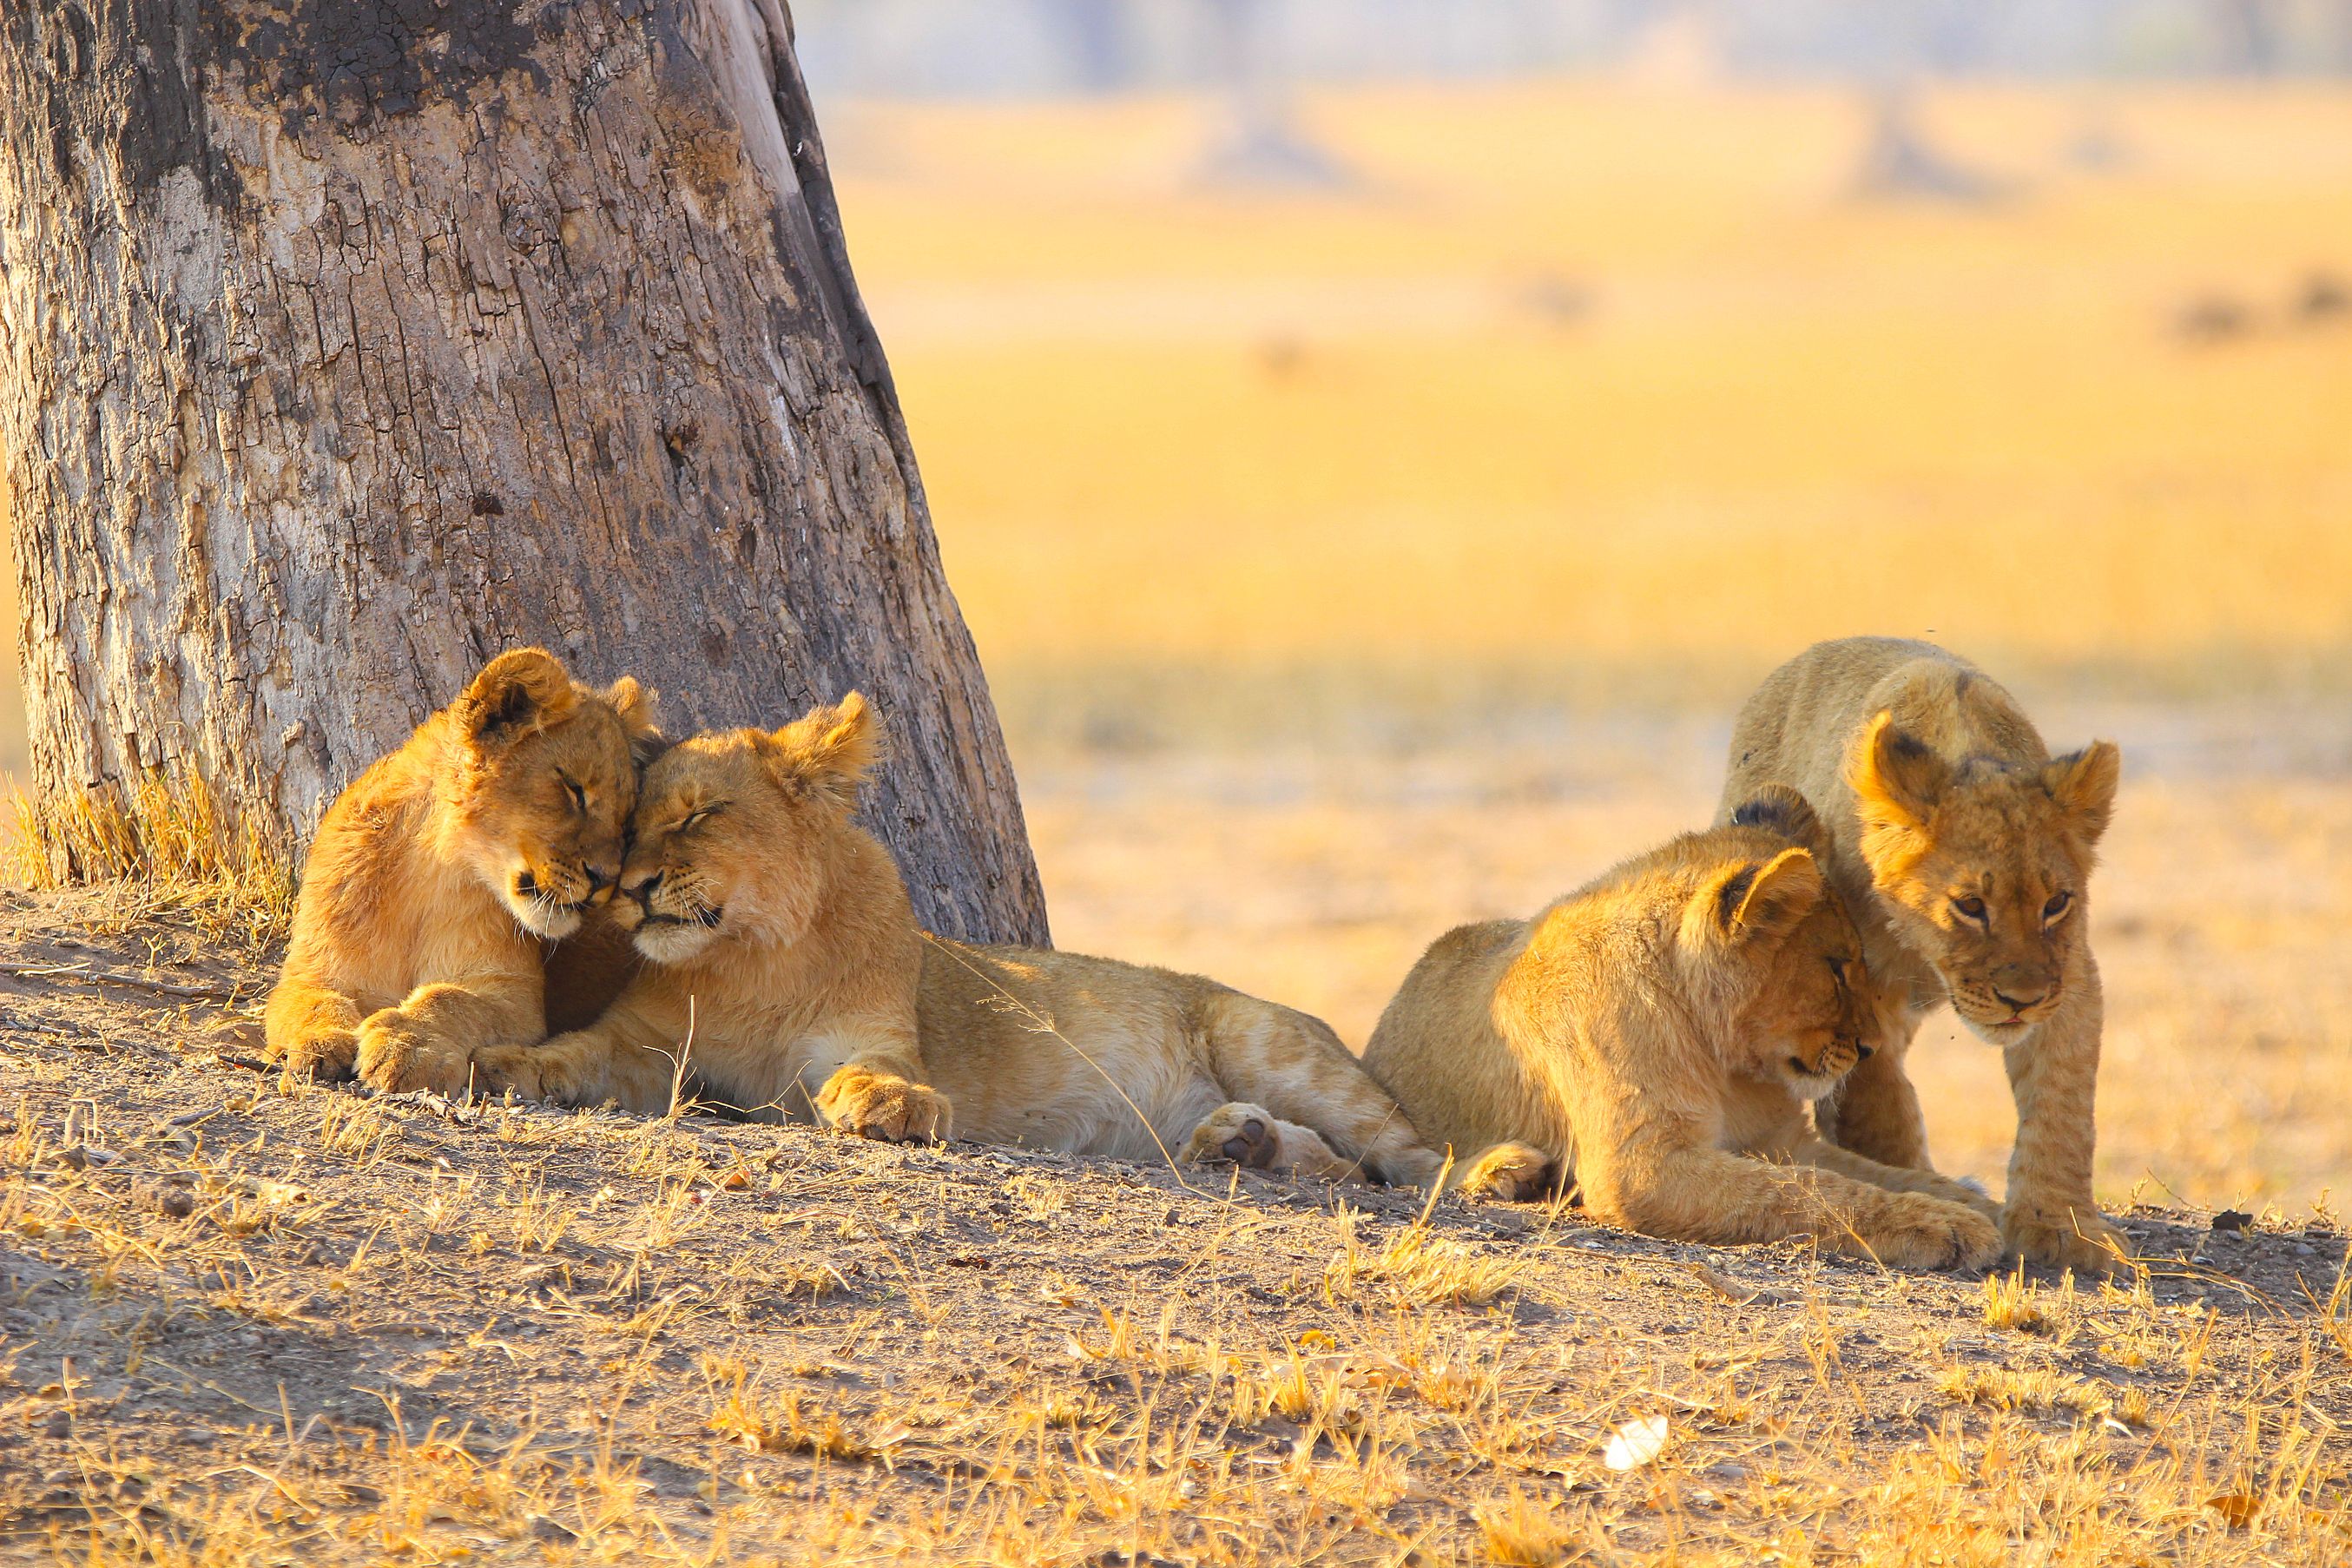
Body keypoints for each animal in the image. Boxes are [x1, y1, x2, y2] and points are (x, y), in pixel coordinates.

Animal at [263, 649, 661, 1097]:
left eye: (625, 819)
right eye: (574, 790)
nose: (606, 881)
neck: (430, 868)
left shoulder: (511, 994)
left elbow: (450, 1000)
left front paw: (407, 1047)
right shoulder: (314, 970)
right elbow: (314, 1001)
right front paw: (320, 1044)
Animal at [474, 695, 1544, 1192]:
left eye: (698, 815)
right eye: (629, 822)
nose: (628, 887)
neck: (749, 957)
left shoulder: (865, 1031)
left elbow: (871, 1073)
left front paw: (893, 1109)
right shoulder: (646, 1049)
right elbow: (571, 1053)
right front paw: (497, 1064)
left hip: (1269, 1041)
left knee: (1397, 1153)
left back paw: (1493, 1171)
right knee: (1336, 1162)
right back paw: (1234, 1142)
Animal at [1361, 786, 2001, 1269]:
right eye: (1837, 967)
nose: (1869, 1048)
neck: (1721, 1058)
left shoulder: (1780, 1140)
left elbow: (1877, 1175)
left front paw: (1989, 1211)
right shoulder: (1642, 1169)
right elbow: (1804, 1192)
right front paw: (1950, 1227)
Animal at [1718, 637, 2127, 1272]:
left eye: (2056, 903)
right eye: (1970, 905)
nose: (2021, 1001)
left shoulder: (2070, 974)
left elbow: (2060, 1101)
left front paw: (2060, 1227)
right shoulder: (1851, 986)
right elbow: (1877, 1106)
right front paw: (1920, 1193)